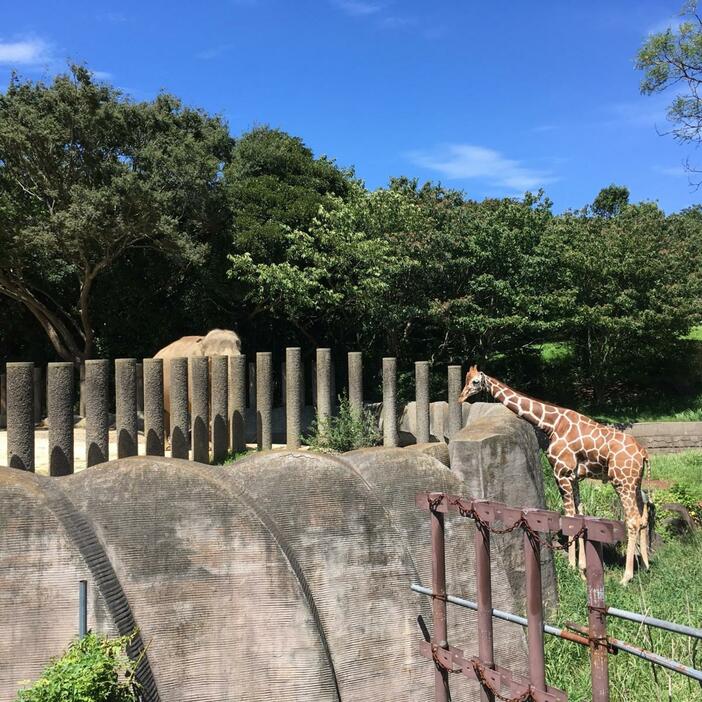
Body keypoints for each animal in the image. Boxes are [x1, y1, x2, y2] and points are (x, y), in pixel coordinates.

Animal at [460, 366, 652, 584]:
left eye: (475, 382)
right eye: (465, 379)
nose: (461, 397)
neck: (551, 424)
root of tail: (643, 453)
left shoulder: (561, 473)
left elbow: (568, 516)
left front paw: (572, 567)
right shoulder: (573, 477)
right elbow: (579, 515)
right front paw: (582, 569)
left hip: (622, 482)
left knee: (633, 520)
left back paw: (626, 577)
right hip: (635, 483)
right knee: (643, 517)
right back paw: (644, 565)